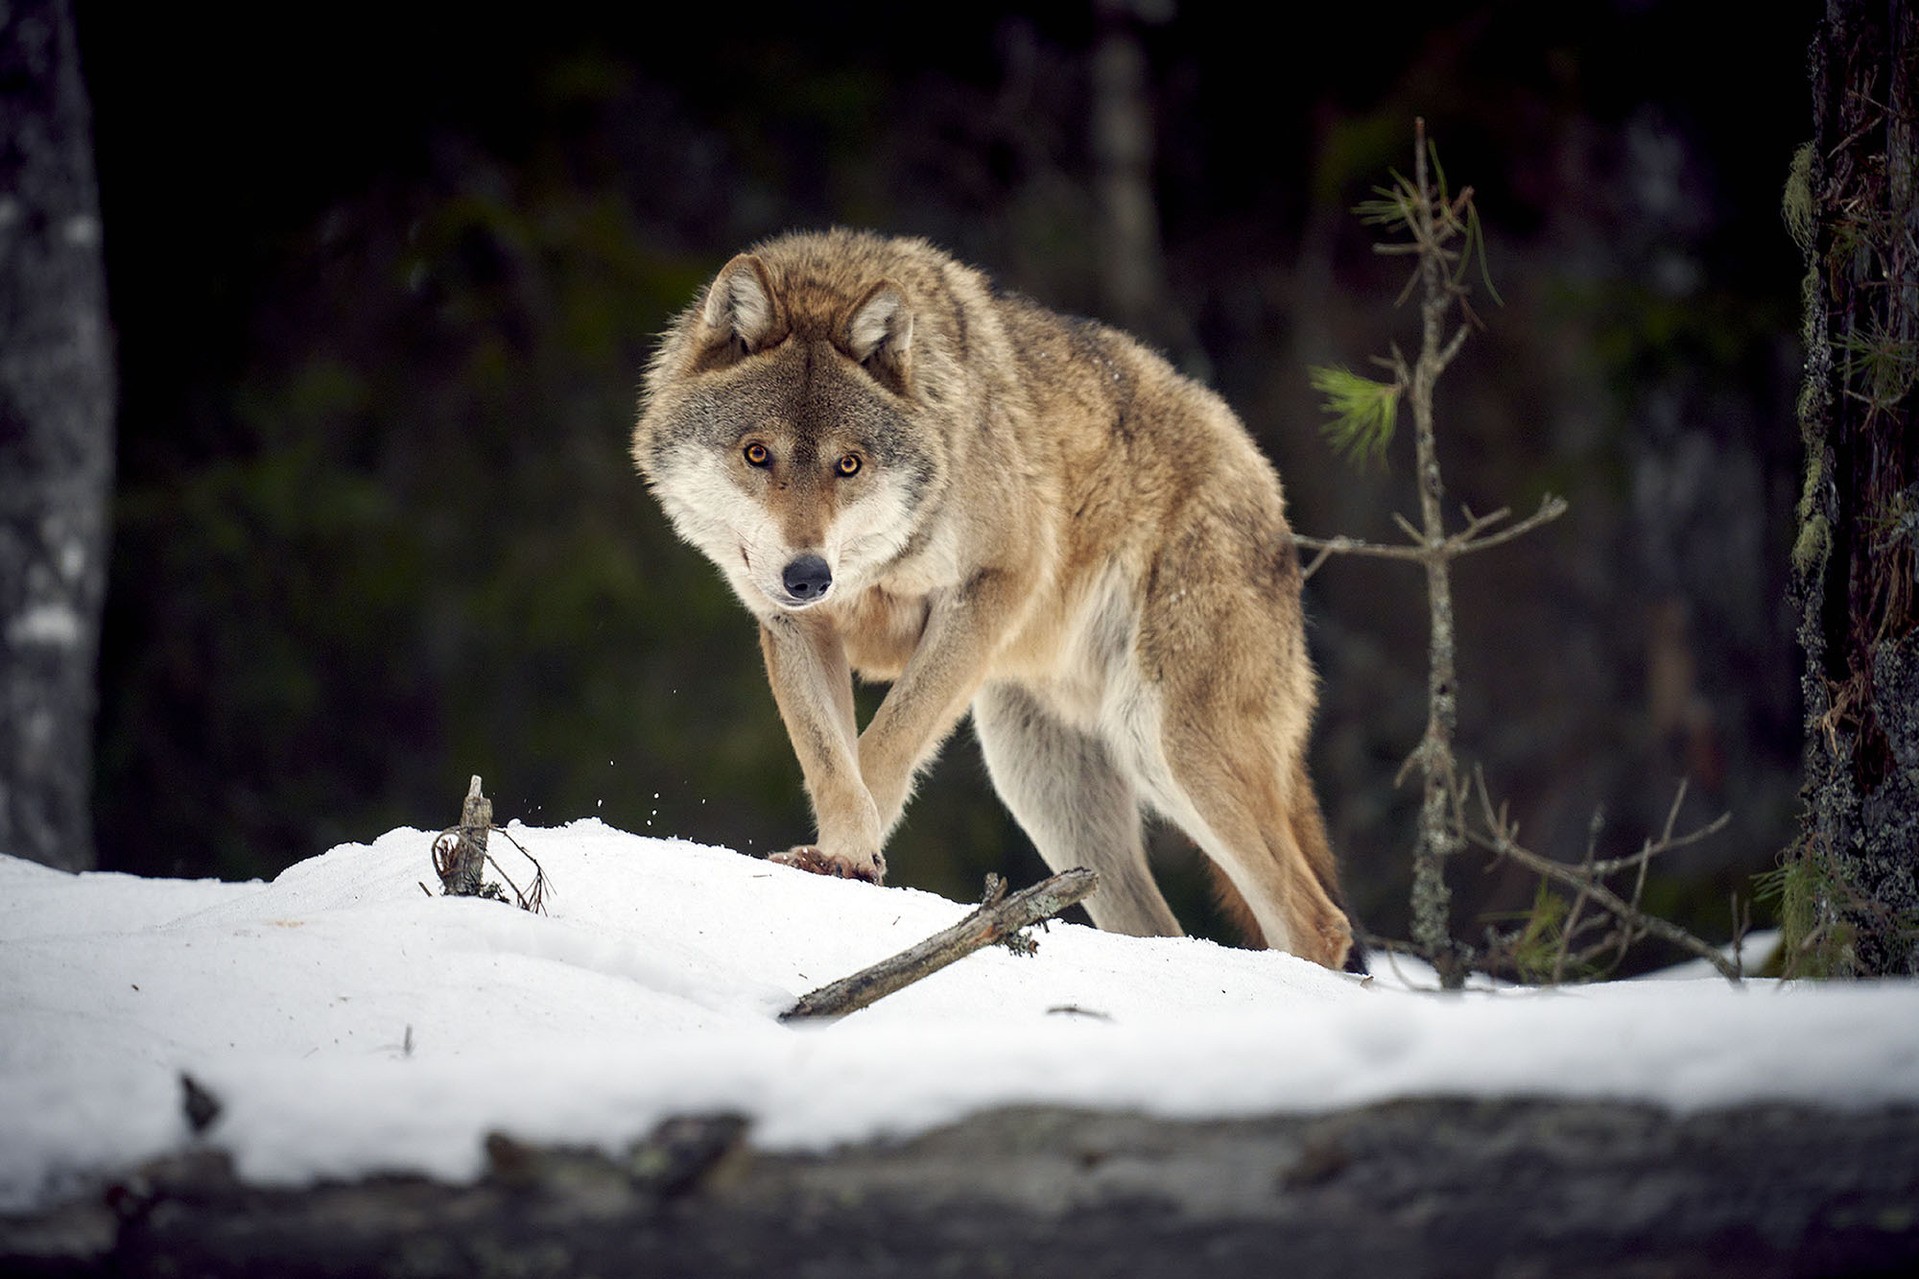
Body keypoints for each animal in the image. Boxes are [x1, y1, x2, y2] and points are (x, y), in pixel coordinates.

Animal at [629, 231, 1350, 967]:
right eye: (756, 454)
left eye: (849, 465)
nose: (808, 576)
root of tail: (1265, 481)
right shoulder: (795, 626)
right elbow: (833, 761)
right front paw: (838, 857)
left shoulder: (997, 582)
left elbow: (884, 747)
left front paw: (855, 859)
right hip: (1043, 782)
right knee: (1156, 927)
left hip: (1162, 740)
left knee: (1317, 921)